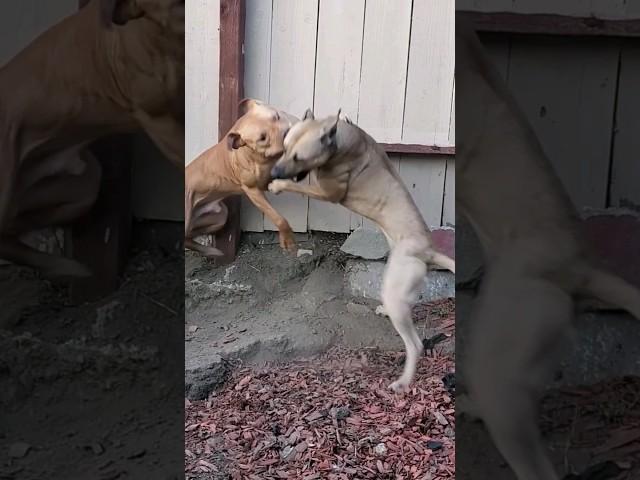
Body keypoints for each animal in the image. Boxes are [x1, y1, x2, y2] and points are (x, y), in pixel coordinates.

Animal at [184, 98, 296, 258]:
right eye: (262, 138)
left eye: (276, 116)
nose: (287, 134)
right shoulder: (253, 190)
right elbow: (277, 217)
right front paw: (288, 240)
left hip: (219, 216)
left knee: (189, 236)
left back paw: (209, 250)